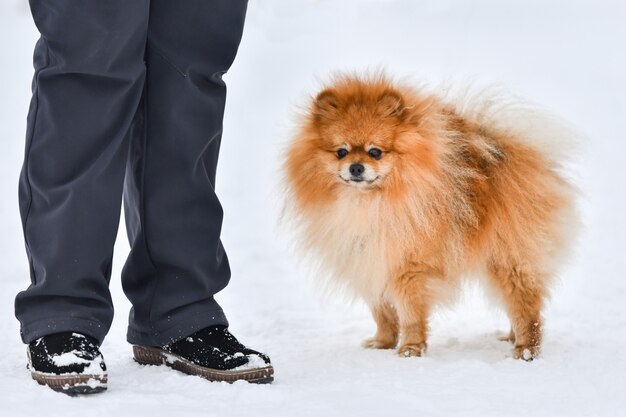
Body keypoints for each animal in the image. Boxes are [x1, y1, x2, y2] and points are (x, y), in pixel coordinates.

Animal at [282, 71, 576, 358]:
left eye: (375, 152)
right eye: (341, 152)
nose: (356, 167)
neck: (370, 203)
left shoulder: (409, 266)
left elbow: (411, 314)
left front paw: (411, 348)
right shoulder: (369, 260)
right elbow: (383, 312)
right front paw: (383, 343)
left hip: (509, 257)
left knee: (525, 305)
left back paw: (526, 348)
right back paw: (511, 337)